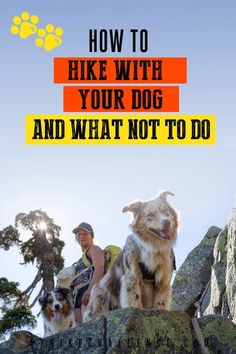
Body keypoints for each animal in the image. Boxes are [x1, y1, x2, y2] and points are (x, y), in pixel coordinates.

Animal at [83, 192, 177, 322]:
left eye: (166, 211)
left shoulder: (163, 280)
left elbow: (161, 303)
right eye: (150, 215)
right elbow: (134, 301)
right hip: (100, 299)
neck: (154, 248)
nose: (167, 222)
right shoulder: (132, 277)